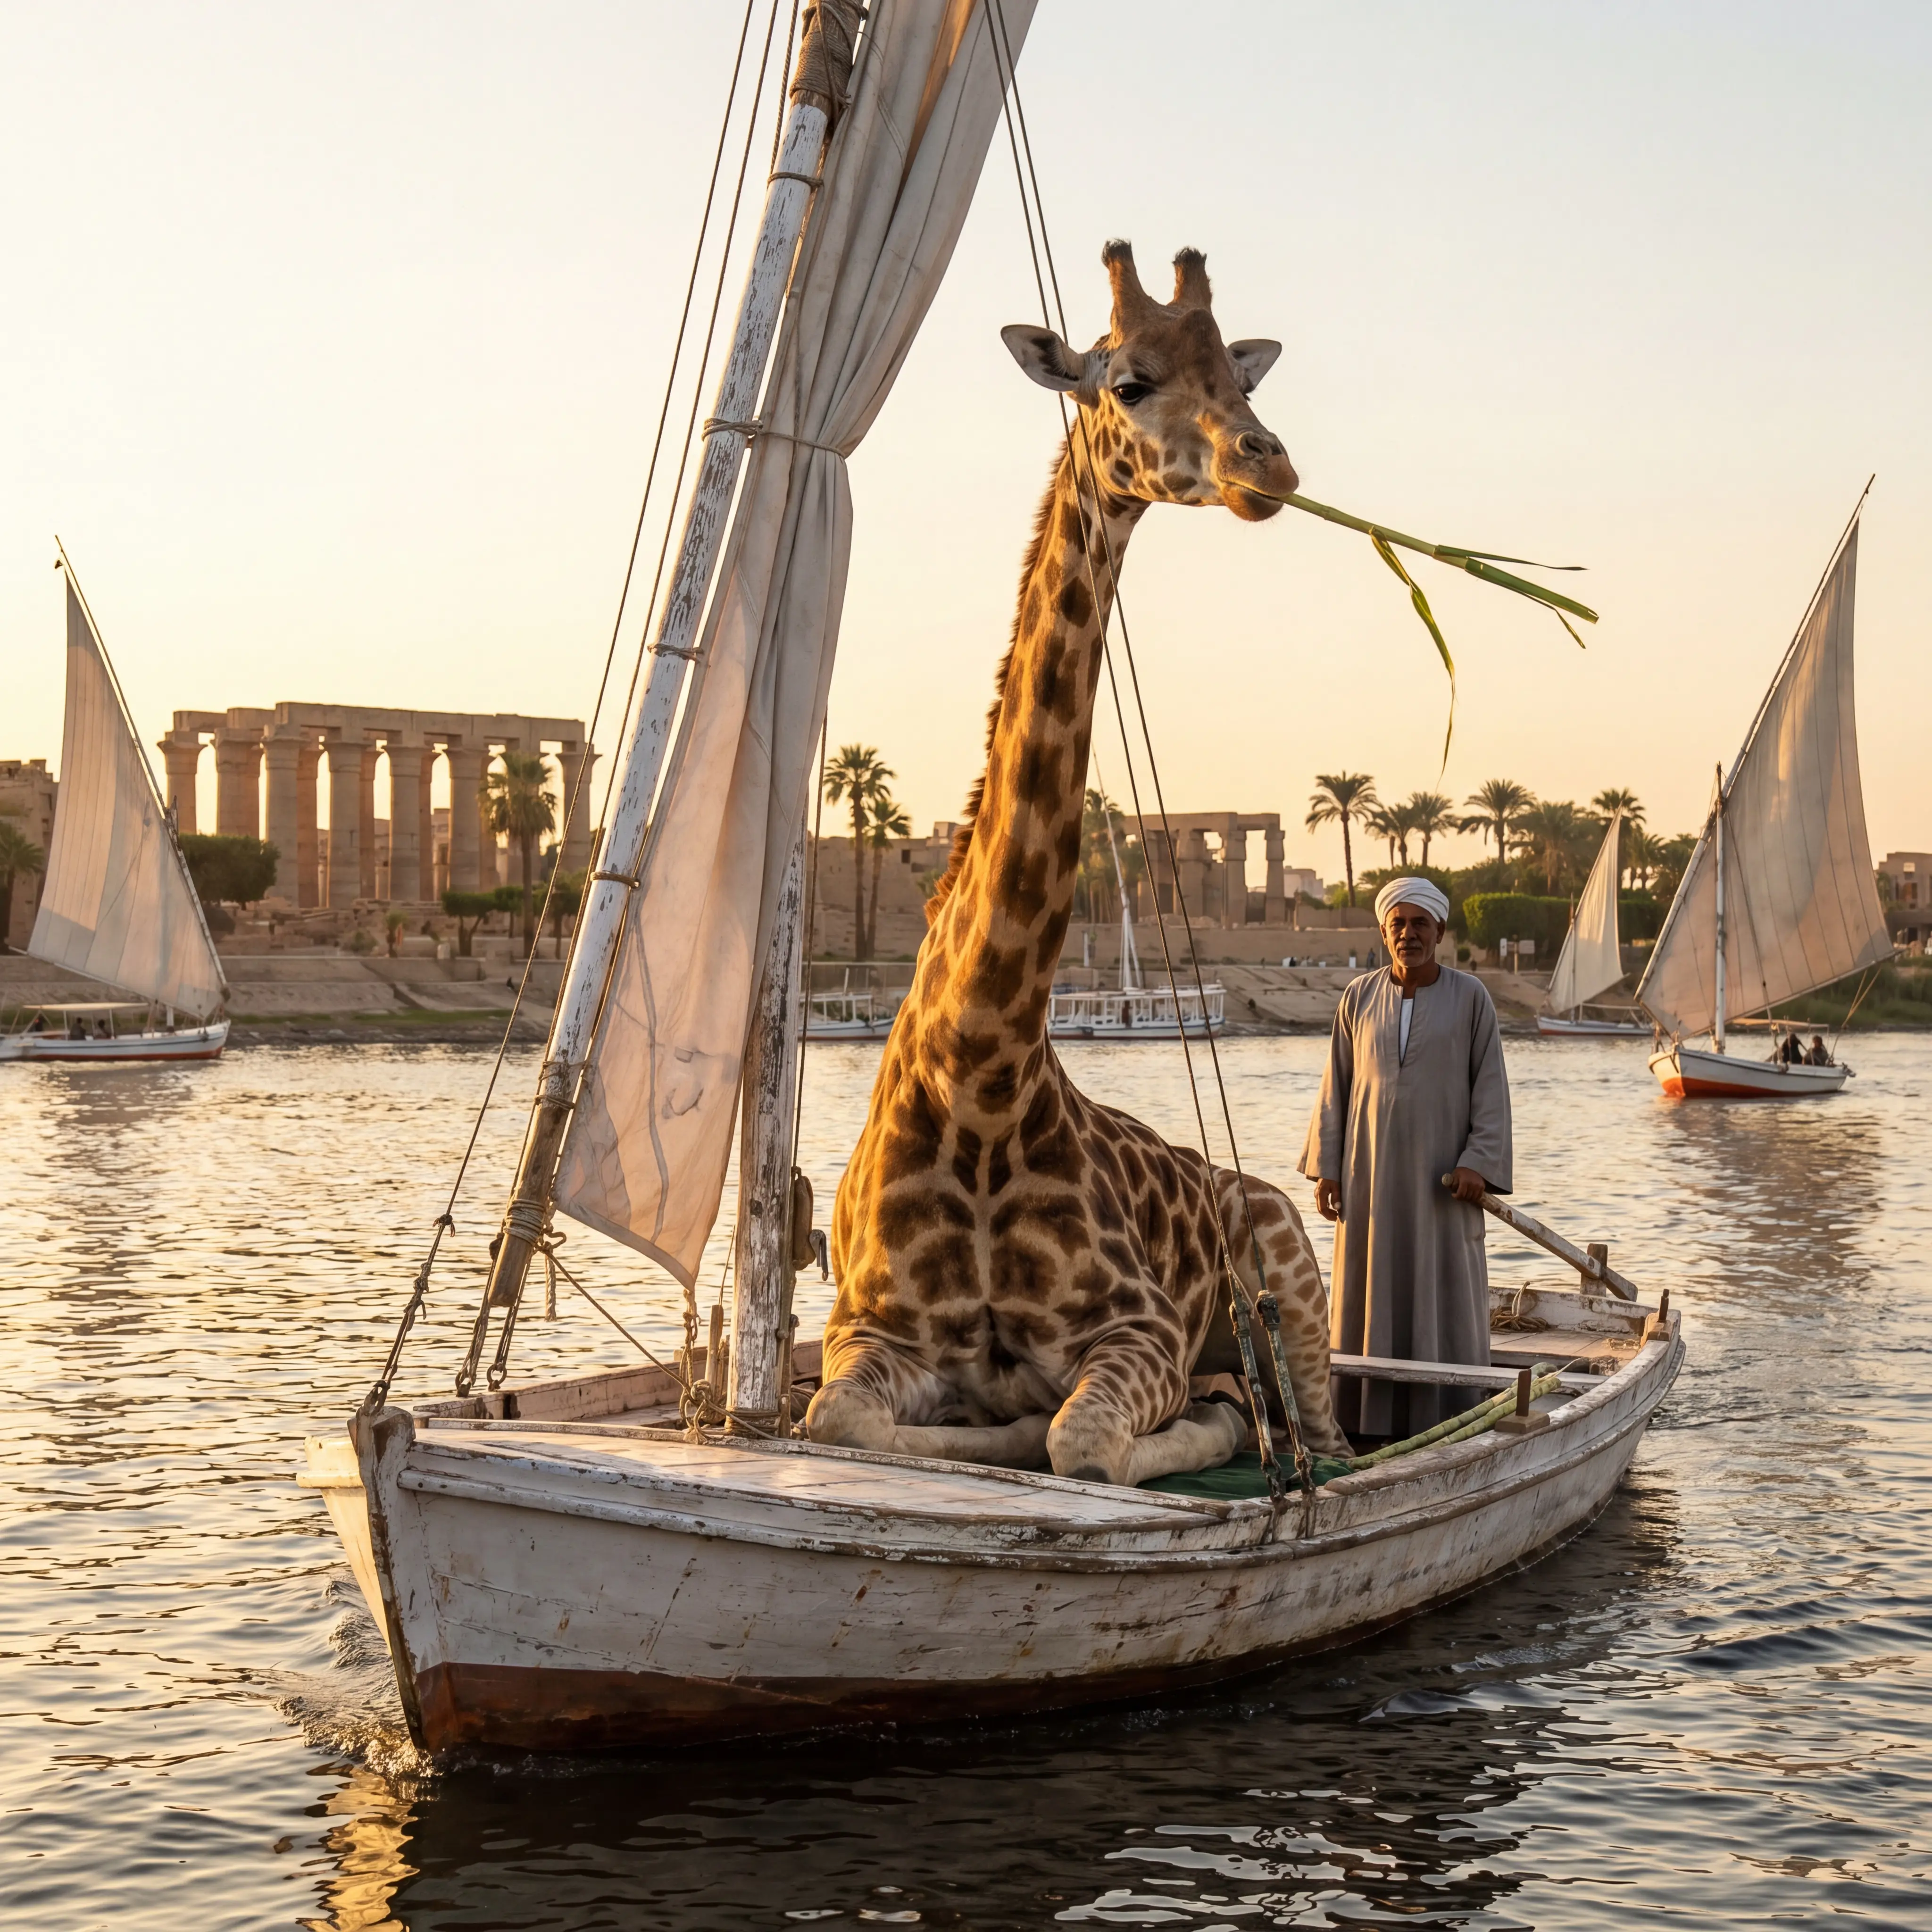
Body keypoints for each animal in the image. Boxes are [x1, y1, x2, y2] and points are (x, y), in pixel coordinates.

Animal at [804, 241, 1350, 1488]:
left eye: (1237, 374)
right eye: (1130, 380)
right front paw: (983, 1421)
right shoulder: (866, 1325)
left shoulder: (1138, 1326)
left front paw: (1182, 1419)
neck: (981, 1080)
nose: (1268, 462)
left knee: (1323, 1428)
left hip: (1291, 1257)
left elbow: (1082, 1439)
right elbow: (841, 1420)